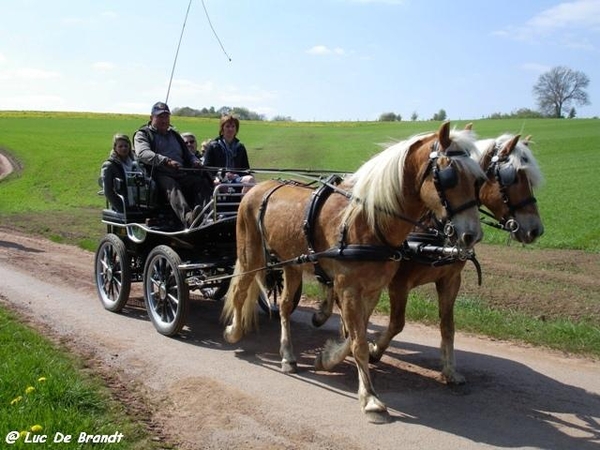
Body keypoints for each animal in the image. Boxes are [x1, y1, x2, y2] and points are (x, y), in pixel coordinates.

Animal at [220, 120, 488, 422]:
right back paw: (234, 332)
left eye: (479, 179)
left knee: (286, 307)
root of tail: (258, 187)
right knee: (240, 290)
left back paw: (288, 355)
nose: (472, 235)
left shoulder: (372, 290)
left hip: (292, 264)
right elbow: (358, 341)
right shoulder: (349, 288)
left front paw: (327, 359)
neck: (368, 221)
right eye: (449, 176)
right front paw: (370, 398)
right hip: (250, 255)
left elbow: (354, 335)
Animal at [360, 133, 544, 384]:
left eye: (476, 180)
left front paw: (449, 370)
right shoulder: (399, 283)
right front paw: (375, 350)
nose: (536, 230)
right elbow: (397, 323)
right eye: (513, 177)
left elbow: (448, 326)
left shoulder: (450, 280)